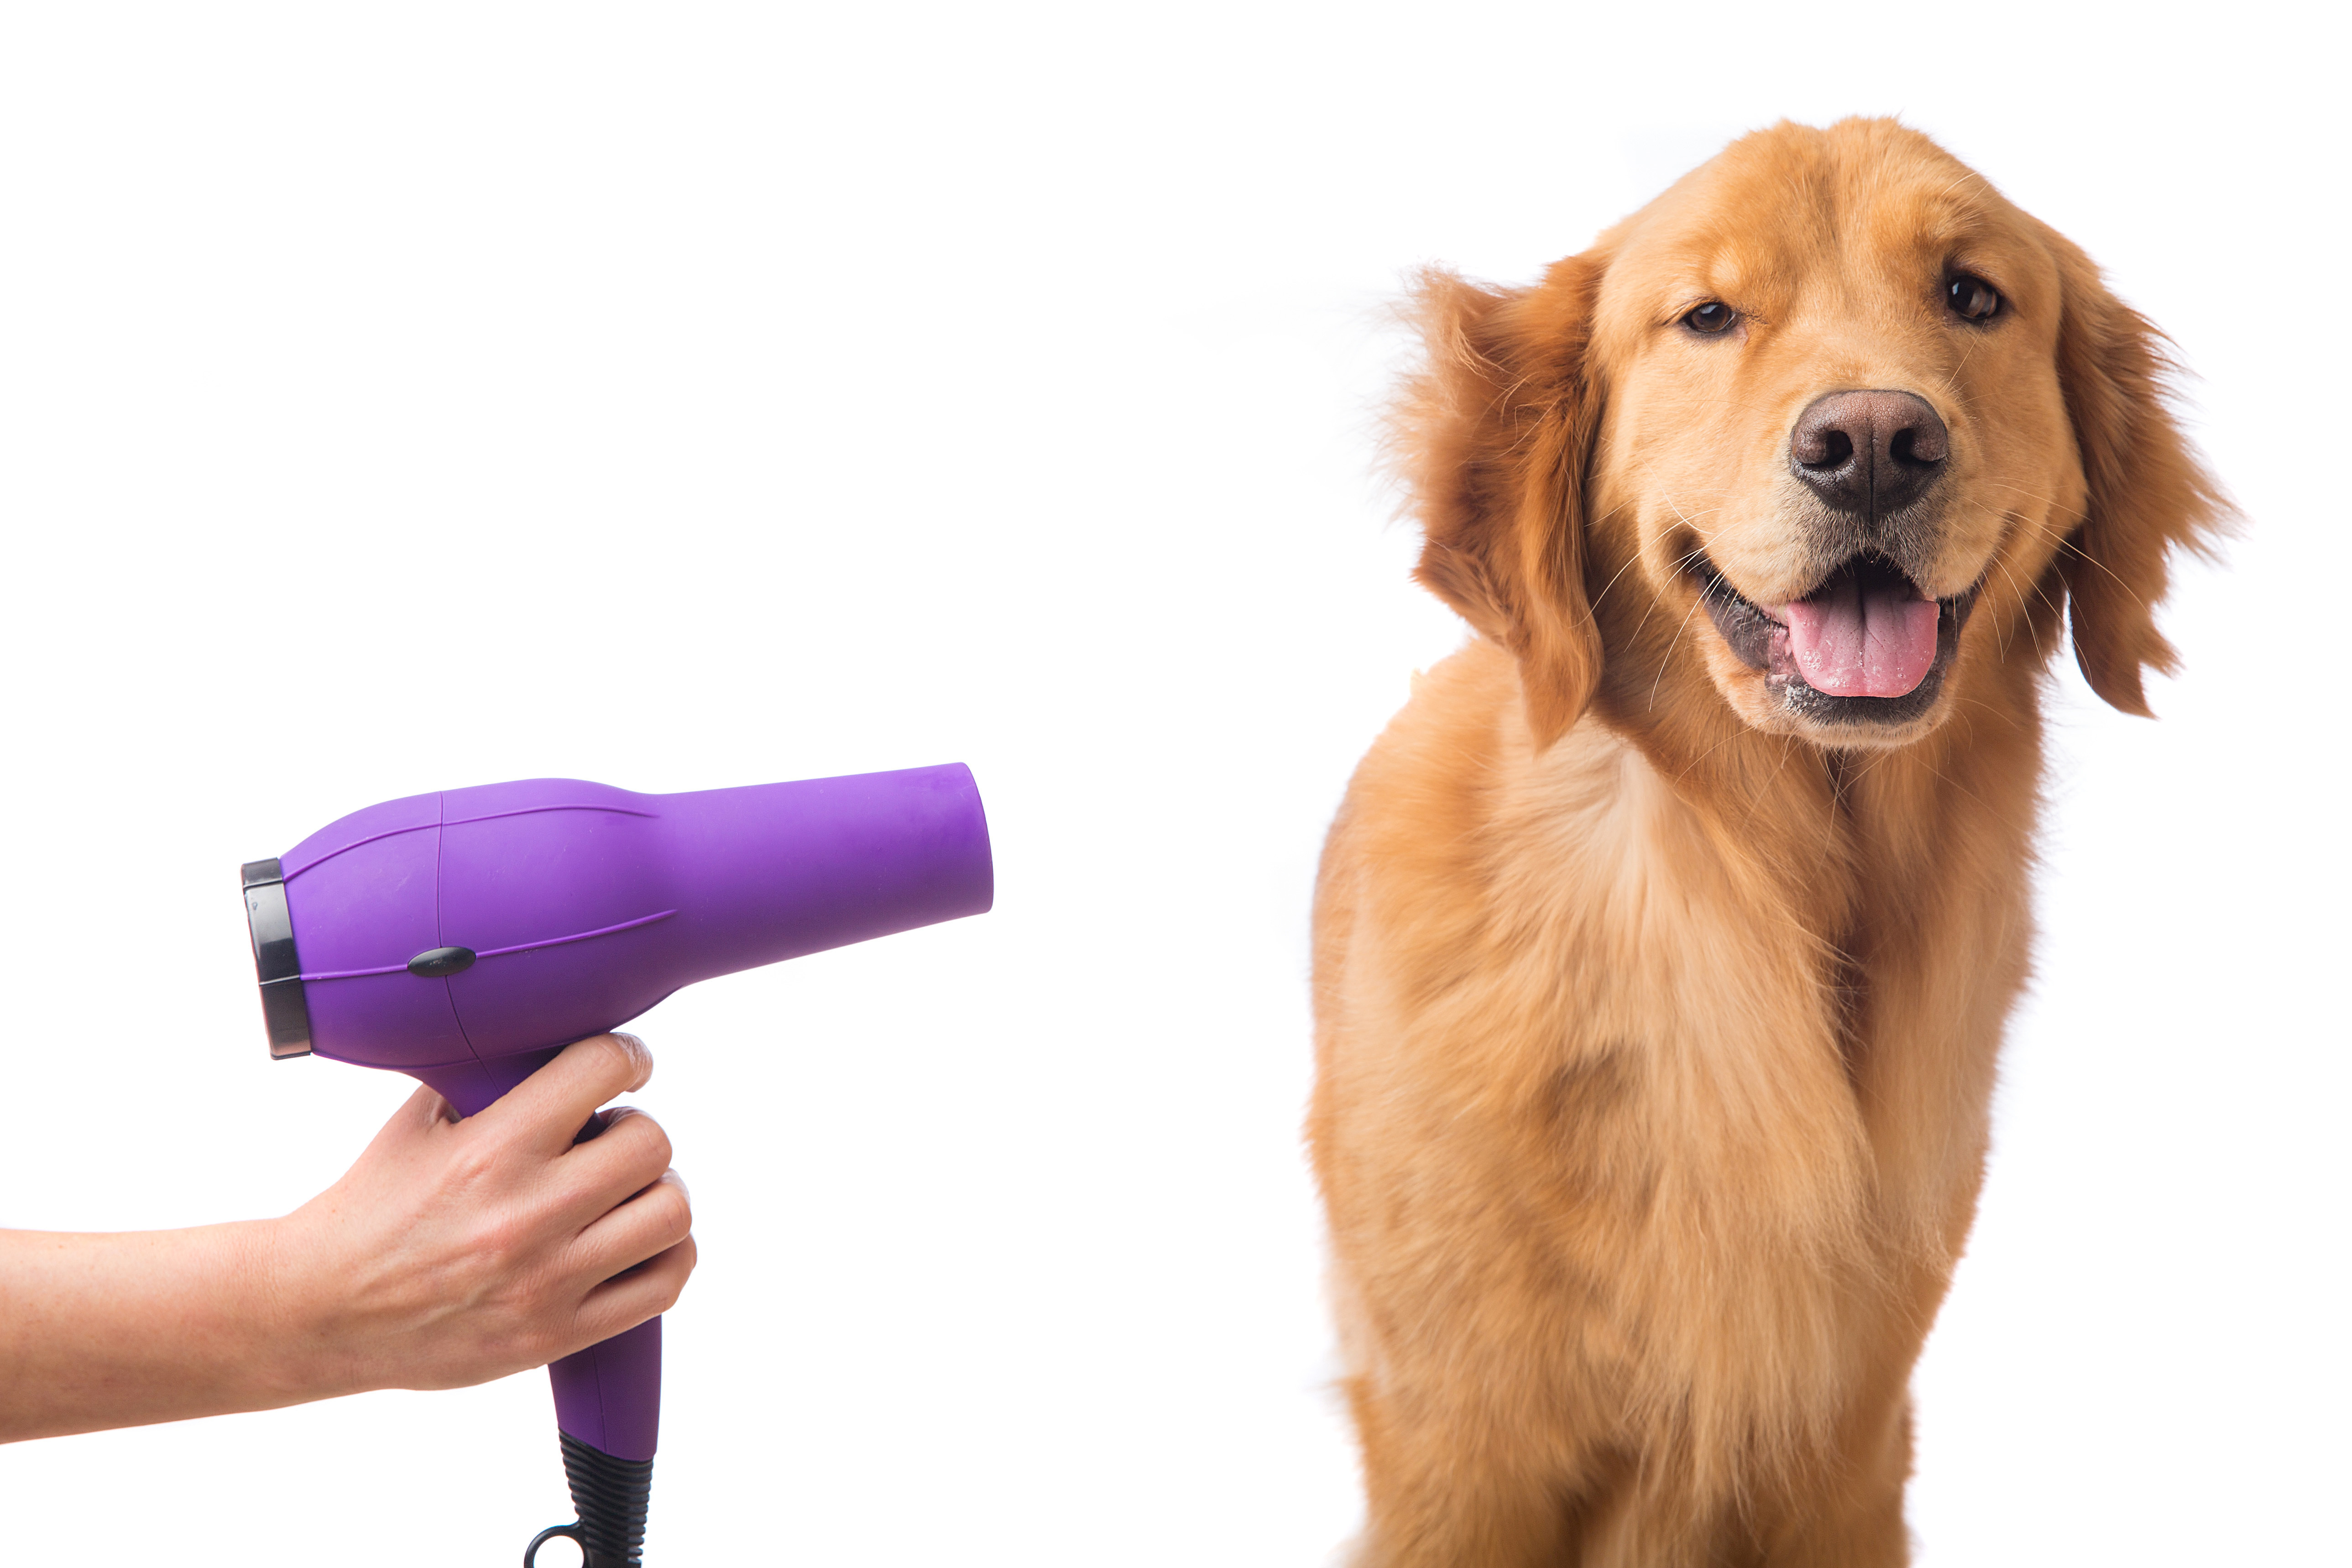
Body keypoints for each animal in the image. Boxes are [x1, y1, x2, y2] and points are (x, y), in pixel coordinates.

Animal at [1326, 116, 2220, 1561]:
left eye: (1972, 295)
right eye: (1707, 315)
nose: (1872, 441)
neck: (1743, 889)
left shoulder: (1844, 1448)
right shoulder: (1454, 1451)